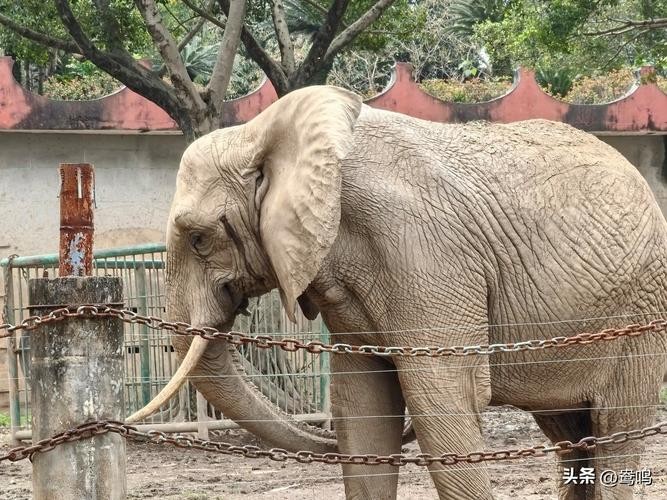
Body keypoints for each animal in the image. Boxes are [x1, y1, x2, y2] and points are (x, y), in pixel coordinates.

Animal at [129, 87, 667, 500]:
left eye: (199, 239)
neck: (266, 131)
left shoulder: (425, 251)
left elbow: (441, 398)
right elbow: (363, 405)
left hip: (640, 315)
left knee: (616, 430)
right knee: (570, 436)